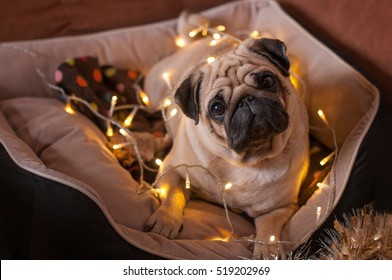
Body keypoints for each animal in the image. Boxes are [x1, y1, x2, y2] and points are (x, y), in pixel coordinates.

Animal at [144, 37, 310, 260]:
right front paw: (165, 221)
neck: (244, 159)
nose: (247, 99)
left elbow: (269, 229)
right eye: (217, 108)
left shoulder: (279, 207)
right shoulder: (172, 170)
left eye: (268, 81)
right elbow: (172, 196)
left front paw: (268, 250)